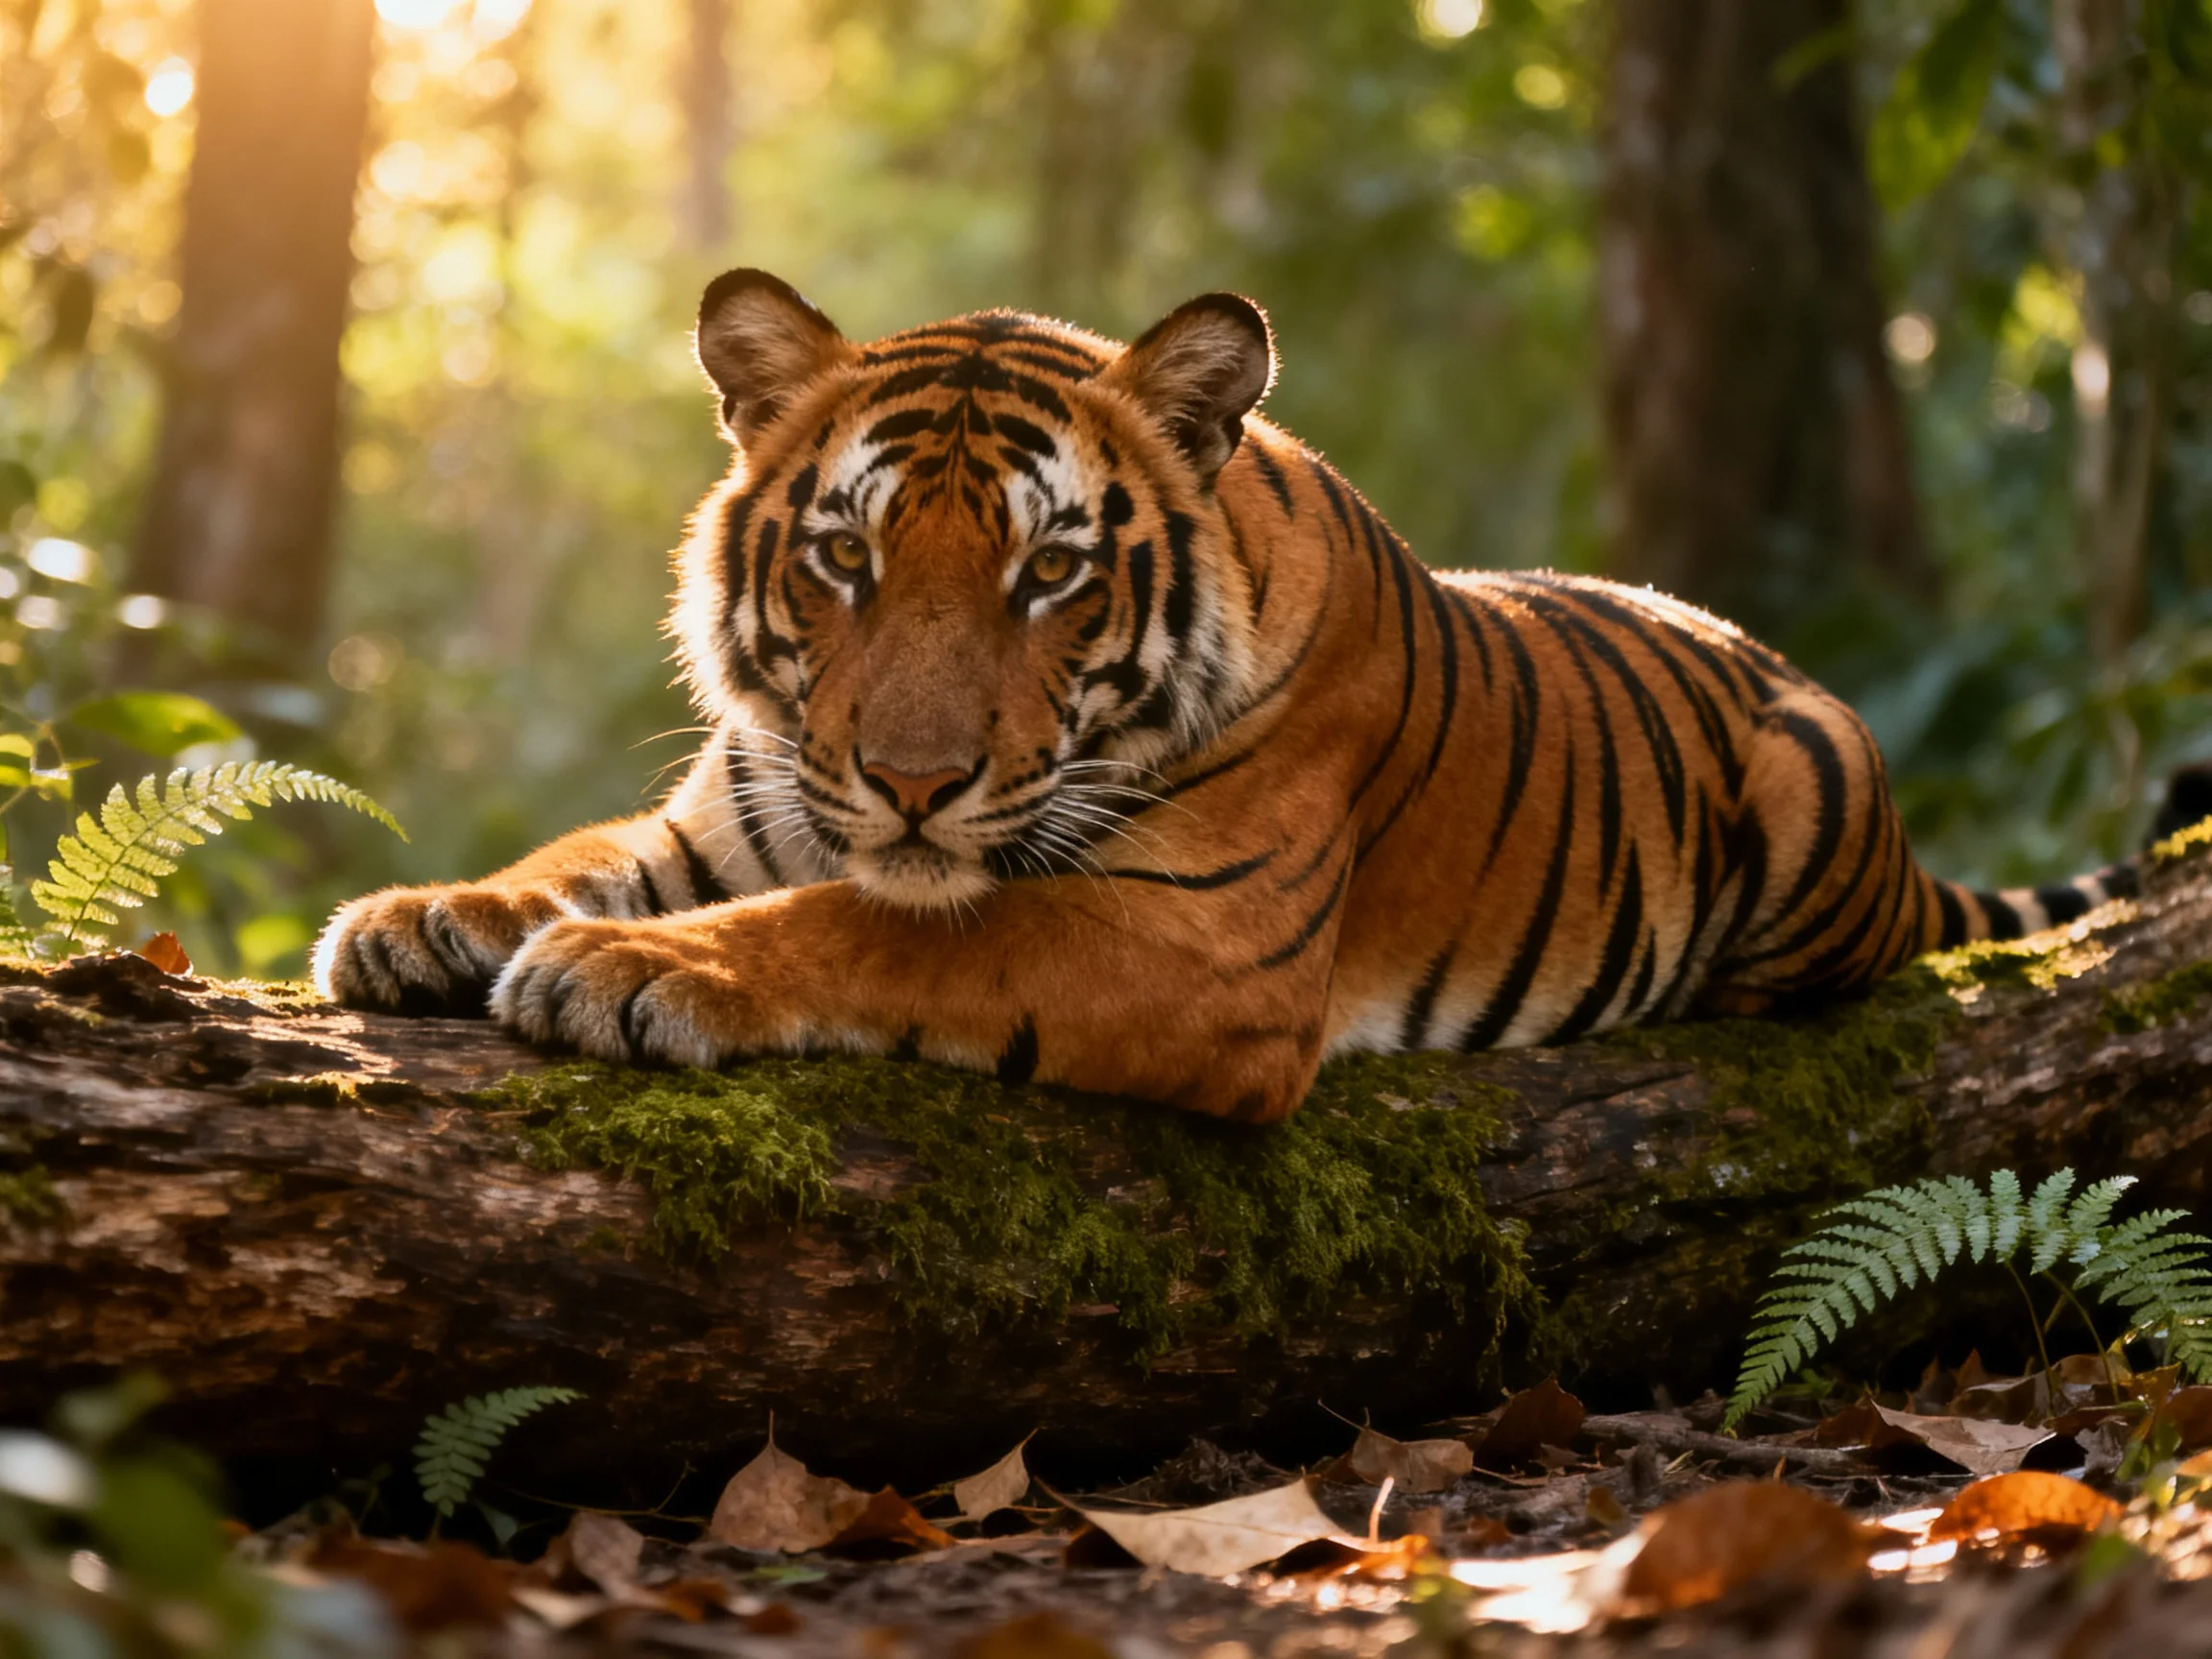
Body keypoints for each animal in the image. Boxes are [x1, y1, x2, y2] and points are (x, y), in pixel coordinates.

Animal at [314, 267, 2142, 1123]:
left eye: (1049, 572)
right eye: (844, 557)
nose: (911, 782)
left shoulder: (1193, 937)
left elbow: (880, 927)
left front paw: (629, 970)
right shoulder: (743, 801)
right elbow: (580, 853)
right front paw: (424, 913)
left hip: (1802, 793)